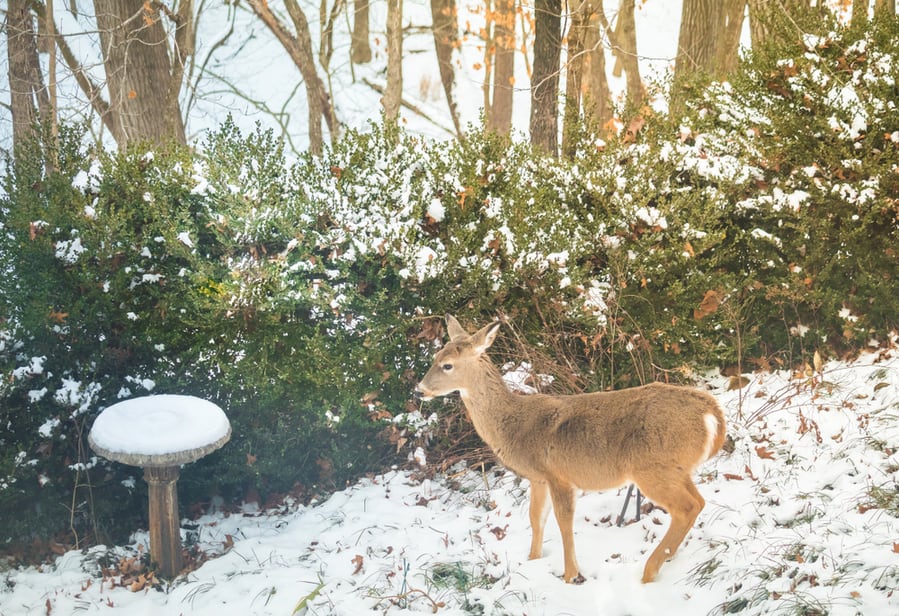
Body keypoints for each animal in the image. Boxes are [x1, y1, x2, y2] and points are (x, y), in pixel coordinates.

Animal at [418, 316, 728, 584]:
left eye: (447, 365)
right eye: (435, 359)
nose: (420, 389)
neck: (512, 424)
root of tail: (713, 415)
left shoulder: (558, 475)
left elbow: (563, 523)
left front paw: (570, 575)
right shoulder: (538, 477)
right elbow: (536, 518)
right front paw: (532, 561)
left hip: (652, 468)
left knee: (686, 507)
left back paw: (649, 572)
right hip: (677, 469)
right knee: (699, 501)